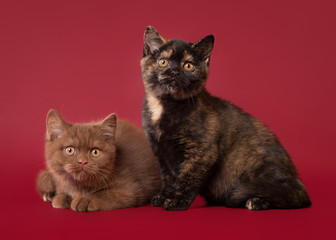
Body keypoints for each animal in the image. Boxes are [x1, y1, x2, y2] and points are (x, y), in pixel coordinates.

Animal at [140, 25, 312, 210]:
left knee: (285, 193)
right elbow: (168, 178)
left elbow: (187, 179)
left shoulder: (202, 152)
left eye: (188, 66)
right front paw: (163, 197)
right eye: (163, 62)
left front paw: (176, 201)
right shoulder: (160, 152)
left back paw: (256, 201)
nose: (174, 71)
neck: (164, 106)